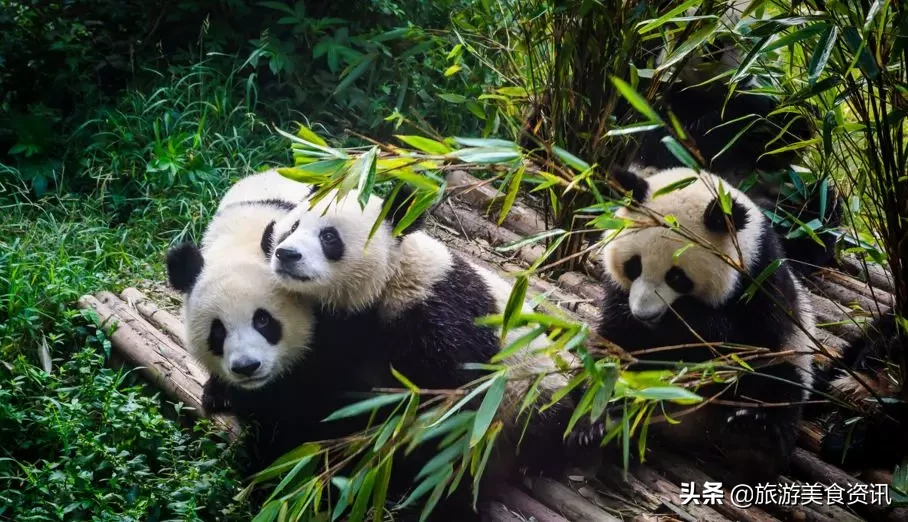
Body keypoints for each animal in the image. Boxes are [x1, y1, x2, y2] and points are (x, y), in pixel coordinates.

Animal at [258, 185, 580, 512]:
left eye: (329, 237)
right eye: (293, 227)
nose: (286, 254)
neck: (390, 281)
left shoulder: (442, 317)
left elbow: (455, 416)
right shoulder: (338, 334)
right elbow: (316, 395)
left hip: (534, 386)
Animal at [580, 167, 820, 484]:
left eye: (676, 277)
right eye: (634, 266)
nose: (644, 313)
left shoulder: (762, 285)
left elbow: (738, 342)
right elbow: (617, 341)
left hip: (789, 361)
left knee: (777, 385)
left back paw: (752, 442)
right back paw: (597, 425)